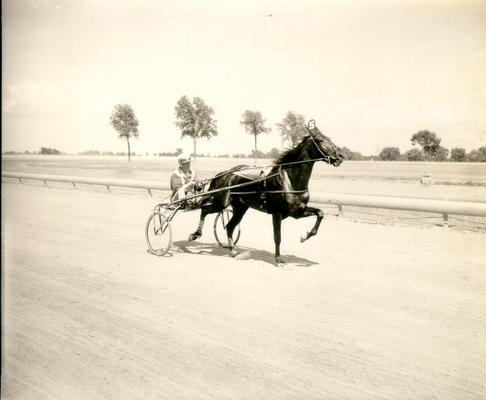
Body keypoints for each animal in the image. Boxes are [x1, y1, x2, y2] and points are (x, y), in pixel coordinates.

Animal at [188, 119, 344, 262]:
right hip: (221, 202)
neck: (289, 180)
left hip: (240, 207)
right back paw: (195, 234)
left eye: (328, 137)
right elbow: (277, 236)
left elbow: (320, 213)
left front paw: (304, 236)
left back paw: (233, 251)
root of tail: (223, 173)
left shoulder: (297, 211)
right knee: (205, 209)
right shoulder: (277, 212)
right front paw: (278, 259)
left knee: (229, 226)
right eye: (320, 139)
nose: (341, 156)